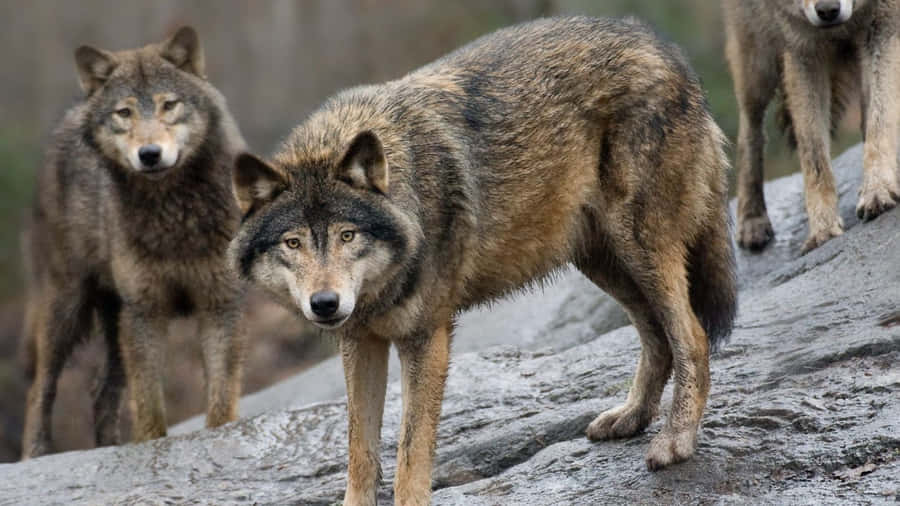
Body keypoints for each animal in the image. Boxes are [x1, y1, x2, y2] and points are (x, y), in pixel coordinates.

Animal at [20, 27, 247, 459]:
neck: (173, 215)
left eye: (168, 105)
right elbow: (148, 404)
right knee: (40, 388)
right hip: (67, 307)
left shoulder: (219, 304)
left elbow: (220, 397)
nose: (150, 154)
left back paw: (107, 448)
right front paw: (150, 447)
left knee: (100, 390)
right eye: (124, 113)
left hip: (113, 320)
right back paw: (34, 455)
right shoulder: (146, 312)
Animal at [231, 17, 737, 505]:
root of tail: (667, 51)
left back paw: (675, 442)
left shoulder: (426, 338)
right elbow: (360, 452)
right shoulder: (361, 340)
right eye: (293, 243)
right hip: (603, 262)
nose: (325, 304)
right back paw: (631, 417)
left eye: (346, 235)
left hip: (640, 247)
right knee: (656, 337)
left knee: (691, 336)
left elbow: (410, 455)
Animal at [724, 0, 900, 252]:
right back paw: (752, 221)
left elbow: (880, 120)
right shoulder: (801, 49)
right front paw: (823, 229)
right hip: (756, 61)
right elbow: (813, 154)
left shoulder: (882, 26)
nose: (828, 11)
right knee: (749, 130)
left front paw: (877, 190)